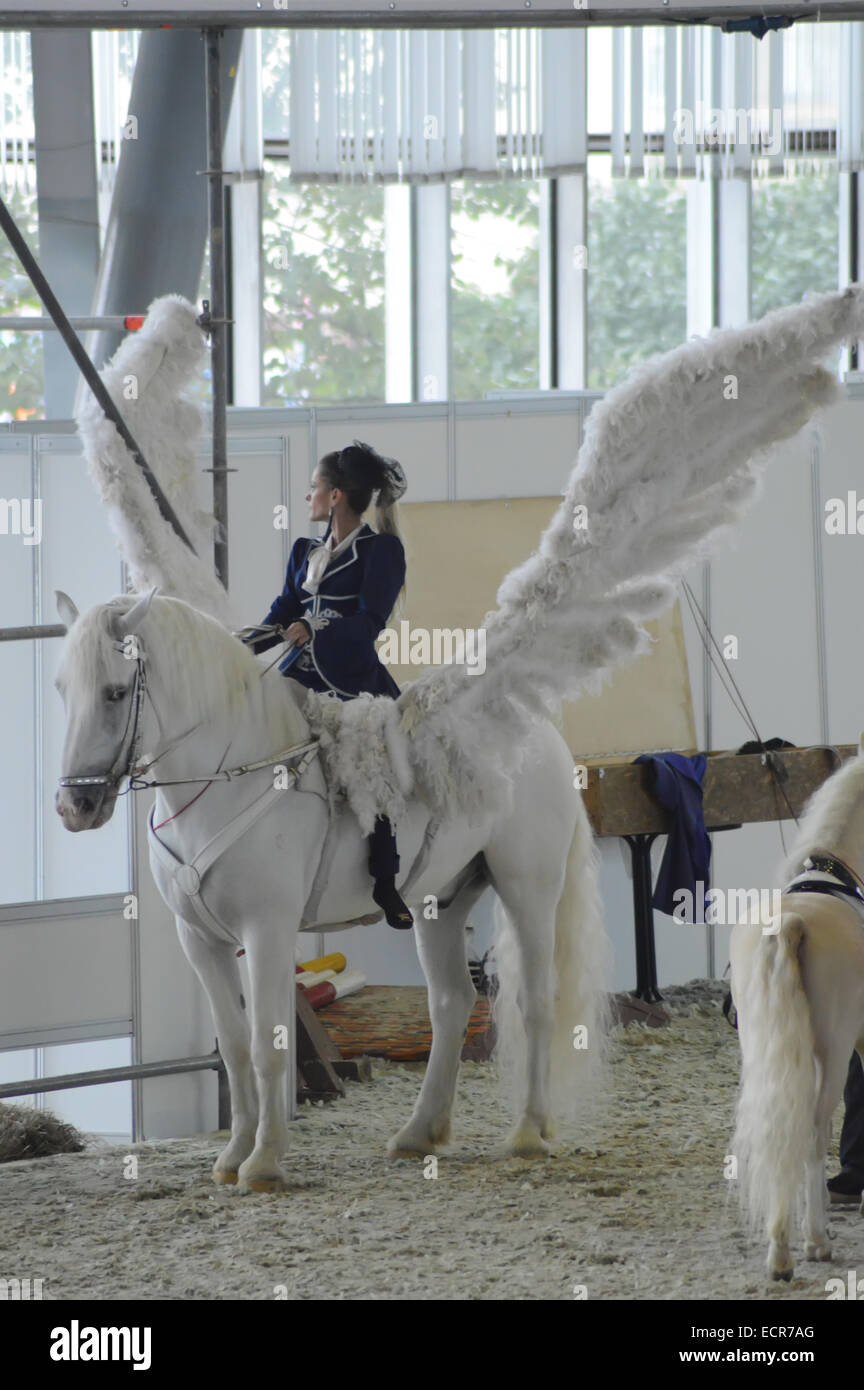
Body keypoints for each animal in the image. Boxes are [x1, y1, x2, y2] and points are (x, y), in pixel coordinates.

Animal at [54, 589, 608, 1195]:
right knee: (452, 1003)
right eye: (62, 689)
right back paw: (419, 1132)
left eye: (115, 692)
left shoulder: (267, 931)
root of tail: (541, 732)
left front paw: (264, 1162)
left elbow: (269, 1044)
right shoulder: (200, 940)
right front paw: (232, 1156)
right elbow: (236, 1046)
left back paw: (528, 1133)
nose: (74, 807)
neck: (222, 783)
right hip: (440, 903)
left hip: (529, 888)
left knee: (535, 1002)